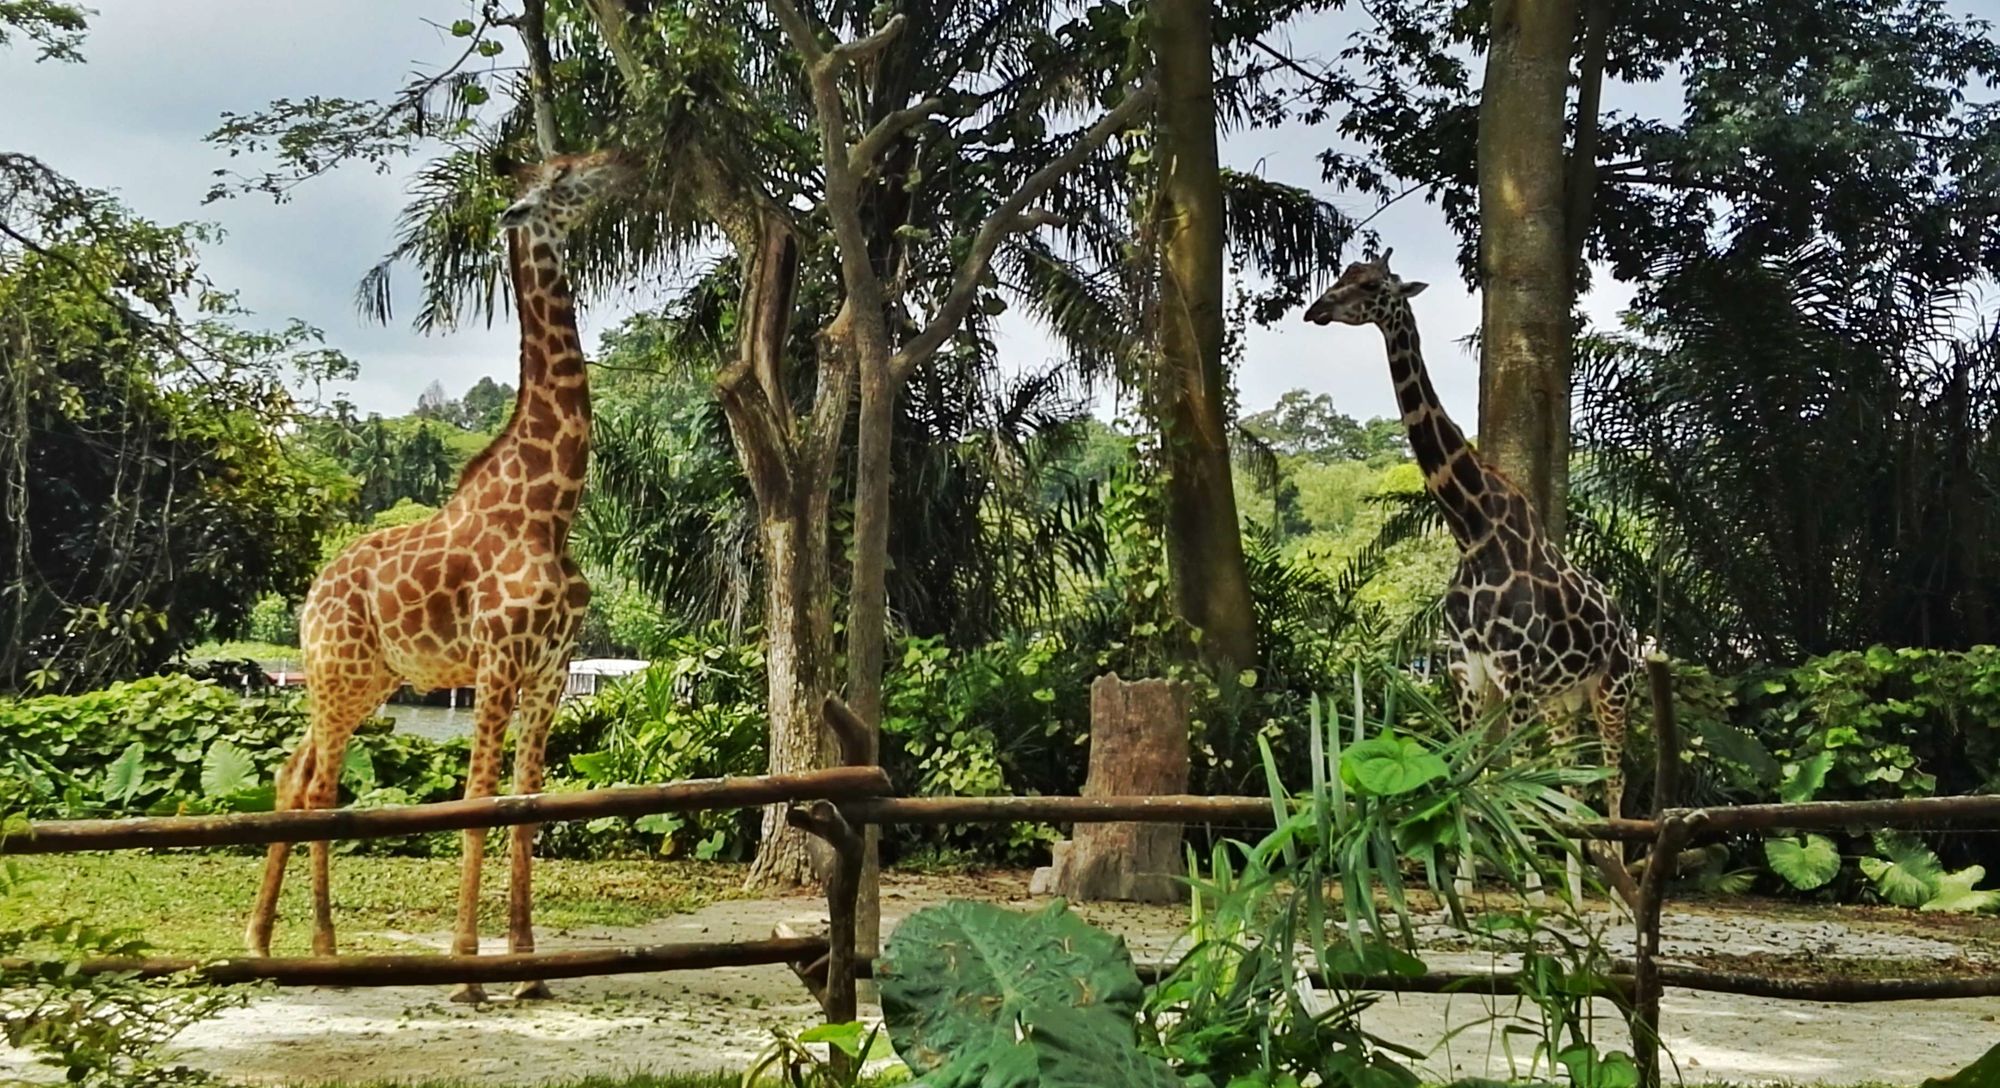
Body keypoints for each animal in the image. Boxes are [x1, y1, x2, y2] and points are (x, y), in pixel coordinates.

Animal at [244, 147, 632, 1004]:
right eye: (561, 177)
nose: (617, 161)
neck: (552, 506)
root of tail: (311, 594)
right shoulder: (497, 660)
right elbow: (476, 800)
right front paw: (468, 969)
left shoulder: (550, 669)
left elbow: (526, 804)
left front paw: (528, 969)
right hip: (339, 671)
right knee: (321, 790)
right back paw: (324, 950)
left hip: (360, 680)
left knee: (292, 776)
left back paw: (259, 940)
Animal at [1296, 251, 1640, 904]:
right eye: (1341, 274)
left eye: (1371, 284)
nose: (1316, 309)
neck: (1472, 528)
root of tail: (1630, 626)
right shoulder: (1465, 668)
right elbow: (1467, 767)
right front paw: (1460, 879)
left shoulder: (1516, 672)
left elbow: (1513, 774)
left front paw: (1527, 884)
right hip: (1563, 702)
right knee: (1571, 779)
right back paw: (1581, 885)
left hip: (1613, 688)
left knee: (1613, 775)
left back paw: (1614, 888)